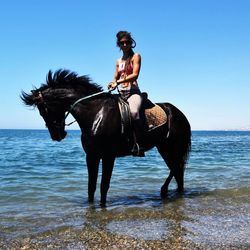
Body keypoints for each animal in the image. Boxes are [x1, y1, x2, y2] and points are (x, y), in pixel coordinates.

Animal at [21, 69, 191, 206]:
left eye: (43, 109)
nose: (57, 135)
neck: (96, 112)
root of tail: (179, 113)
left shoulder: (108, 156)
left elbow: (104, 186)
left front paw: (102, 207)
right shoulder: (92, 156)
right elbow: (91, 186)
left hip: (171, 147)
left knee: (177, 168)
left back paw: (164, 190)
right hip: (164, 147)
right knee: (178, 172)